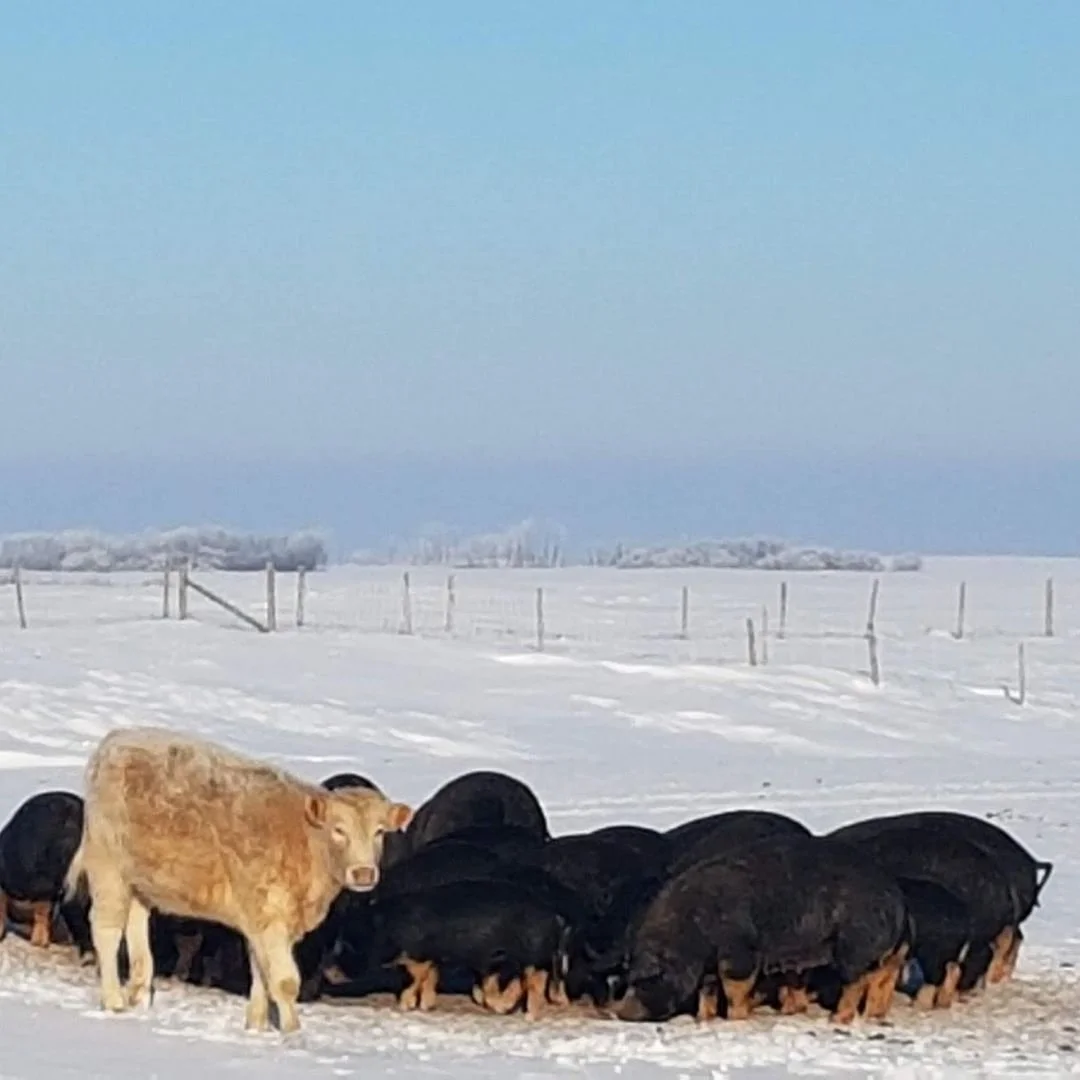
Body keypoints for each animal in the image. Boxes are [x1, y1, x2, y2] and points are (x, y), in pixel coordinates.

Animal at [65, 727, 411, 1033]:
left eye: (380, 831)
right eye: (339, 830)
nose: (364, 872)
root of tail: (116, 740)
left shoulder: (261, 920)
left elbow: (261, 975)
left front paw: (256, 1027)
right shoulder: (270, 916)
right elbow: (284, 981)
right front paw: (292, 1034)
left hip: (139, 880)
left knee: (135, 926)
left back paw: (137, 994)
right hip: (108, 866)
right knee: (107, 931)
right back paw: (113, 1001)